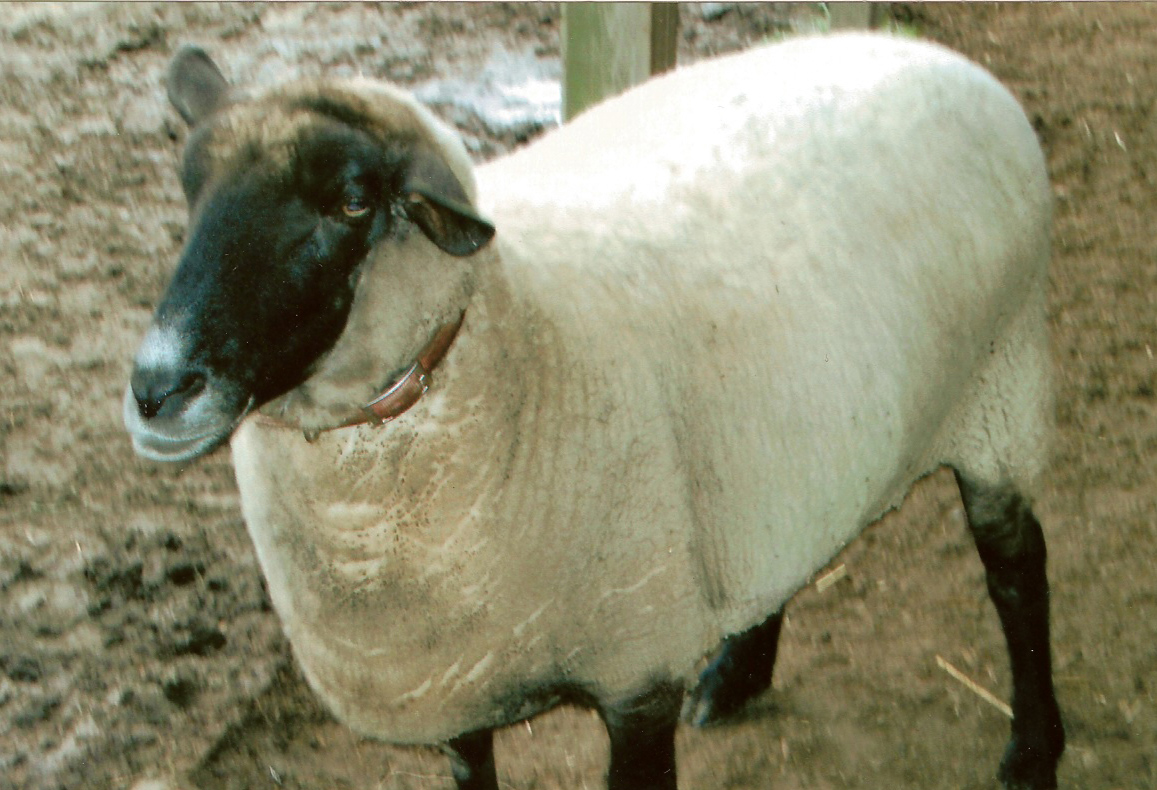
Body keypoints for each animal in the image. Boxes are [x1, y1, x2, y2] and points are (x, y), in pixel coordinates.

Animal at [124, 33, 1064, 790]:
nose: (156, 389)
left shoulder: (635, 666)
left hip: (1000, 388)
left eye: (352, 202)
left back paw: (1033, 749)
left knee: (1017, 568)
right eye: (189, 186)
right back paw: (737, 676)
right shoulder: (455, 687)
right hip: (772, 459)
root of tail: (940, 56)